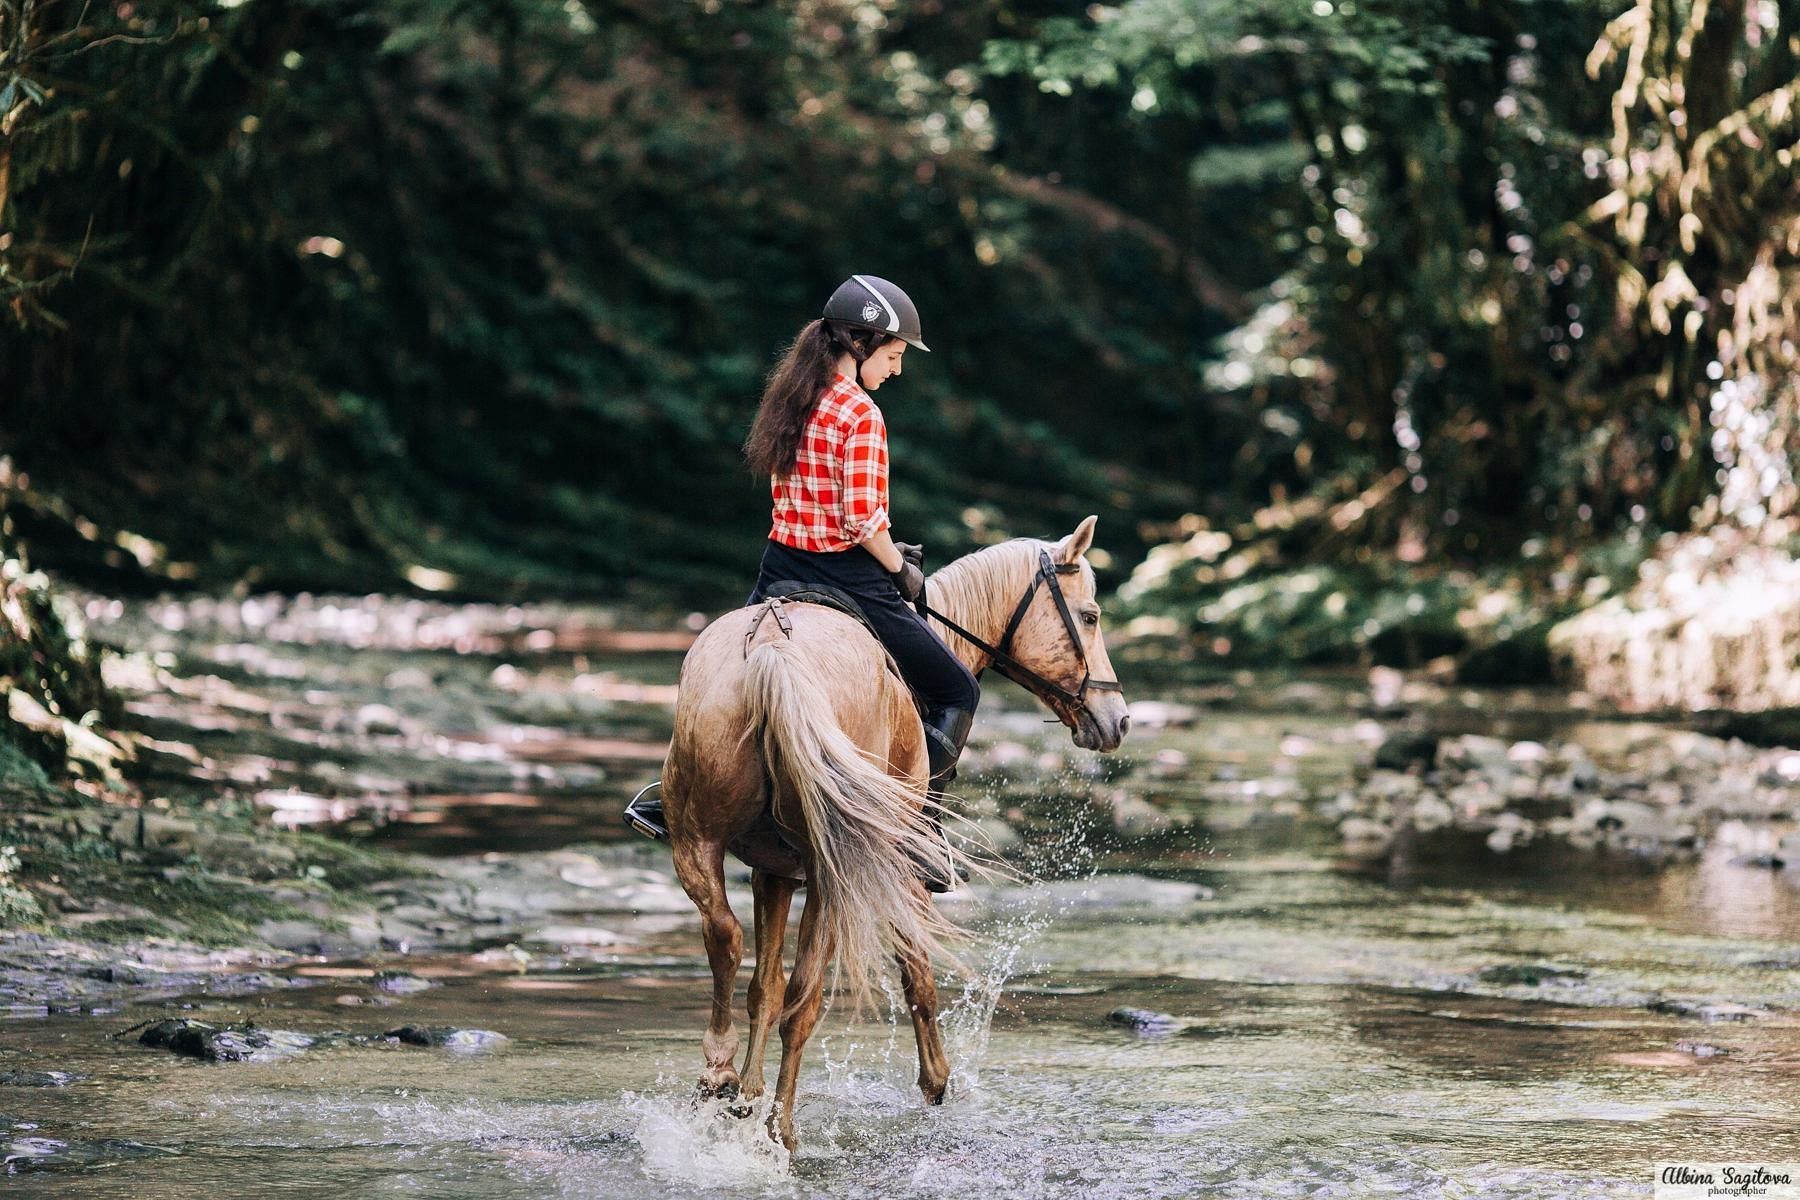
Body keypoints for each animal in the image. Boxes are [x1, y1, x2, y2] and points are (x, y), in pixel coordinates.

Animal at [669, 514, 1130, 1144]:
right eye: (1090, 616)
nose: (1119, 720)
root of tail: (772, 648)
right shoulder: (896, 871)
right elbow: (918, 978)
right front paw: (937, 1083)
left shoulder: (773, 872)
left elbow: (763, 987)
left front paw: (746, 1096)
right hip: (835, 871)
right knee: (805, 996)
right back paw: (782, 1130)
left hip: (698, 842)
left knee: (726, 939)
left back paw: (719, 1073)